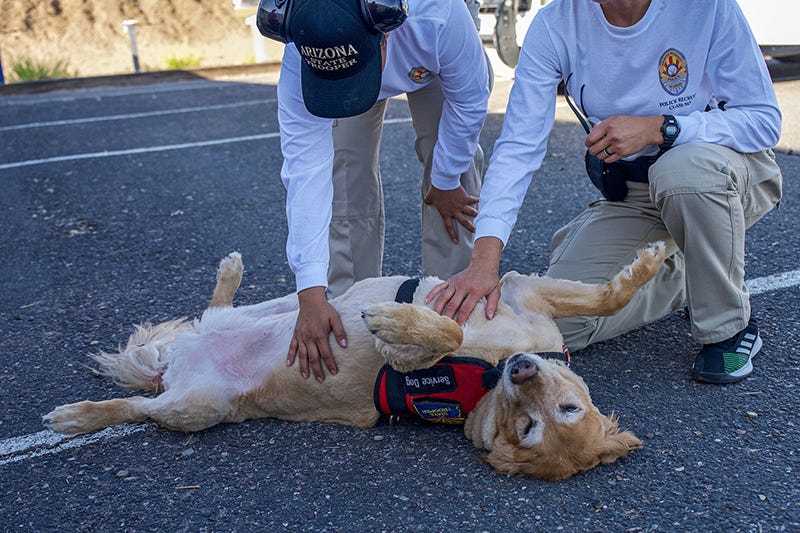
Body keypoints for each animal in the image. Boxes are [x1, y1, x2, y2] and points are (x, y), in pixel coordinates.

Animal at [45, 243, 668, 480]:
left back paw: (76, 416)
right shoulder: (520, 292)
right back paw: (231, 272)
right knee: (226, 307)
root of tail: (174, 367)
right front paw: (648, 264)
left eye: (530, 428)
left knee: (139, 407)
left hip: (195, 408)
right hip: (270, 311)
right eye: (565, 409)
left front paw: (394, 321)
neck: (486, 371)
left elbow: (440, 330)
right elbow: (604, 298)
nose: (523, 371)